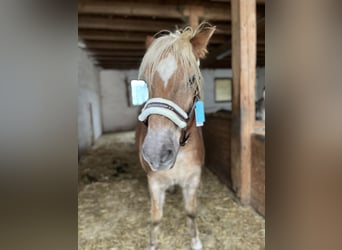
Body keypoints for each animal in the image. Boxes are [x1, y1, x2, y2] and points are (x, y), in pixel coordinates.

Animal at [136, 22, 214, 249]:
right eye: (145, 83)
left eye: (191, 80)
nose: (156, 152)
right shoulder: (154, 183)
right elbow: (156, 218)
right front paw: (152, 244)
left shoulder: (192, 180)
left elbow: (191, 212)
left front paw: (196, 242)